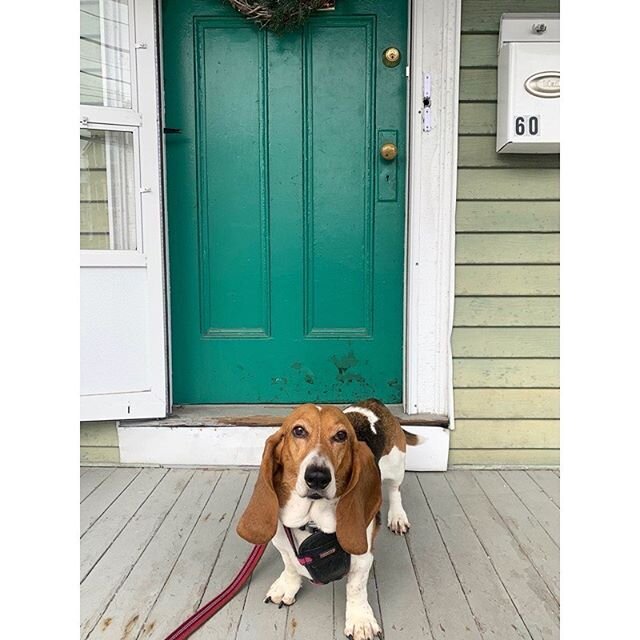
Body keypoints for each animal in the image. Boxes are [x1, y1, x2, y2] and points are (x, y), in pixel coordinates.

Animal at [238, 398, 422, 636]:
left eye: (341, 435)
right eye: (298, 431)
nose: (317, 476)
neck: (311, 521)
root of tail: (373, 402)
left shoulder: (363, 557)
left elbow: (355, 587)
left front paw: (360, 620)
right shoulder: (282, 543)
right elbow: (290, 566)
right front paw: (287, 586)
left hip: (396, 464)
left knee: (394, 490)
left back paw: (397, 517)